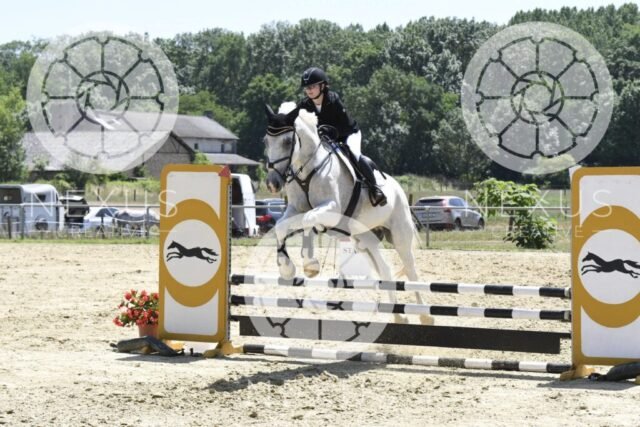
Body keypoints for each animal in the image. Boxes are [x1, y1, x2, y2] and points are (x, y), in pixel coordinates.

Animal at [264, 103, 431, 323]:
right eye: (266, 141)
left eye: (287, 141)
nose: (272, 184)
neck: (308, 168)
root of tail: (398, 188)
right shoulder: (296, 209)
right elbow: (281, 226)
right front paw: (287, 268)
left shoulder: (331, 209)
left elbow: (308, 220)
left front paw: (310, 264)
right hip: (364, 239)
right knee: (385, 269)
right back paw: (397, 316)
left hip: (399, 234)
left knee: (411, 269)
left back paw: (424, 315)